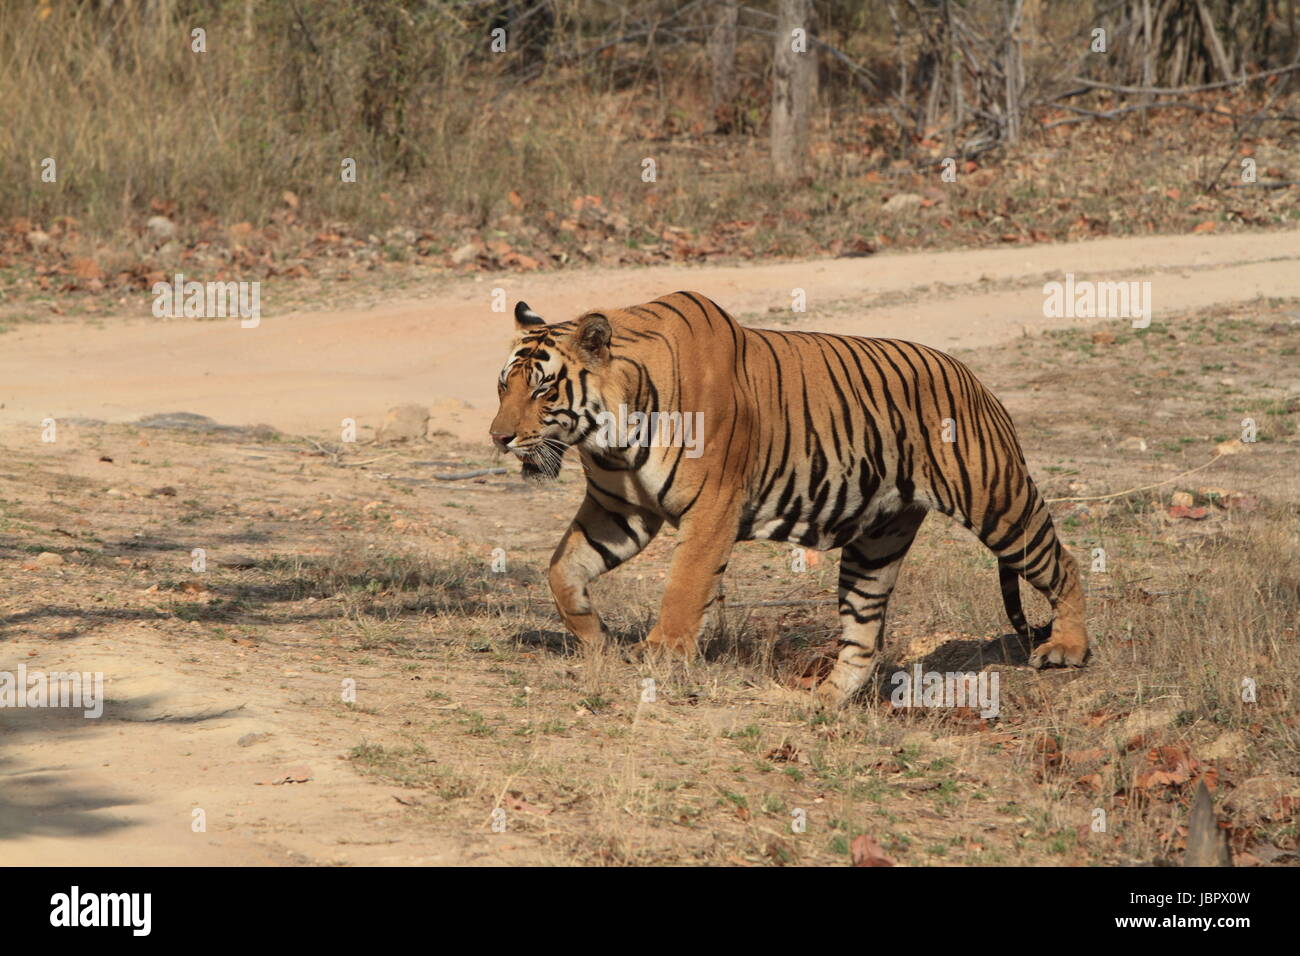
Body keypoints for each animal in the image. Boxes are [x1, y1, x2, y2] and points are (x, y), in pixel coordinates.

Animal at [491, 293, 1092, 712]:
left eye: (543, 388)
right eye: (503, 386)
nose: (498, 438)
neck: (610, 438)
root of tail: (976, 382)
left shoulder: (711, 509)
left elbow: (684, 587)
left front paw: (661, 653)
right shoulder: (620, 510)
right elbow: (563, 569)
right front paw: (596, 641)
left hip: (998, 502)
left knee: (1062, 562)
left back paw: (1066, 649)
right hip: (878, 542)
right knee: (863, 635)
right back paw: (822, 702)